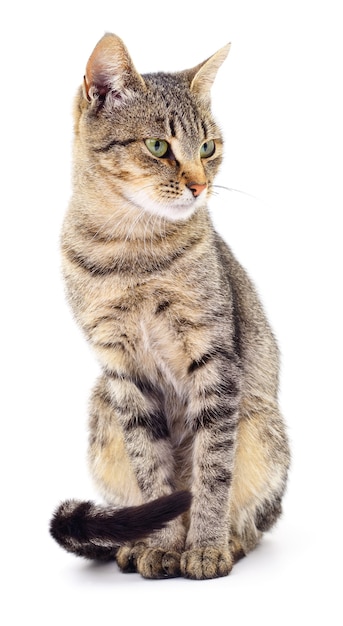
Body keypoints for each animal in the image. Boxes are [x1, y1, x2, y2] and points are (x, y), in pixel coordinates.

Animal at [49, 33, 292, 580]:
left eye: (208, 148)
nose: (200, 185)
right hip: (102, 410)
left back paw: (231, 539)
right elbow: (150, 469)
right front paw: (161, 545)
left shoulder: (214, 360)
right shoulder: (121, 371)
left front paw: (204, 546)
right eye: (158, 146)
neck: (131, 249)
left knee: (257, 519)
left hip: (262, 425)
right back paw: (131, 544)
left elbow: (212, 469)